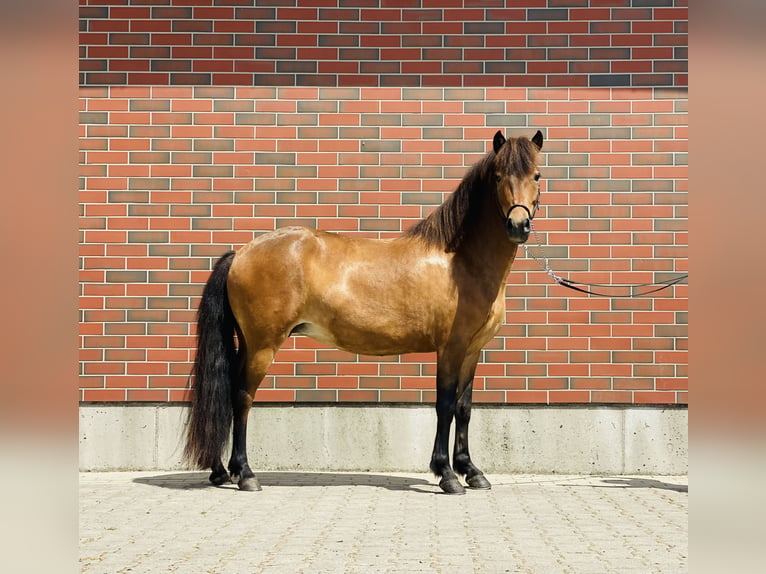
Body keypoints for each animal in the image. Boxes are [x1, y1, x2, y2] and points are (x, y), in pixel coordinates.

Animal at [184, 129, 544, 496]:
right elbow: (444, 406)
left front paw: (471, 471)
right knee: (241, 397)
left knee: (228, 394)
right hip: (263, 345)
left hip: (248, 342)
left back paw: (222, 471)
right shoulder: (450, 348)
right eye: (498, 176)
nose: (518, 225)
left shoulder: (472, 350)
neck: (460, 262)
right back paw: (245, 474)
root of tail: (241, 252)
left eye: (536, 176)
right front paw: (446, 474)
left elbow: (464, 407)